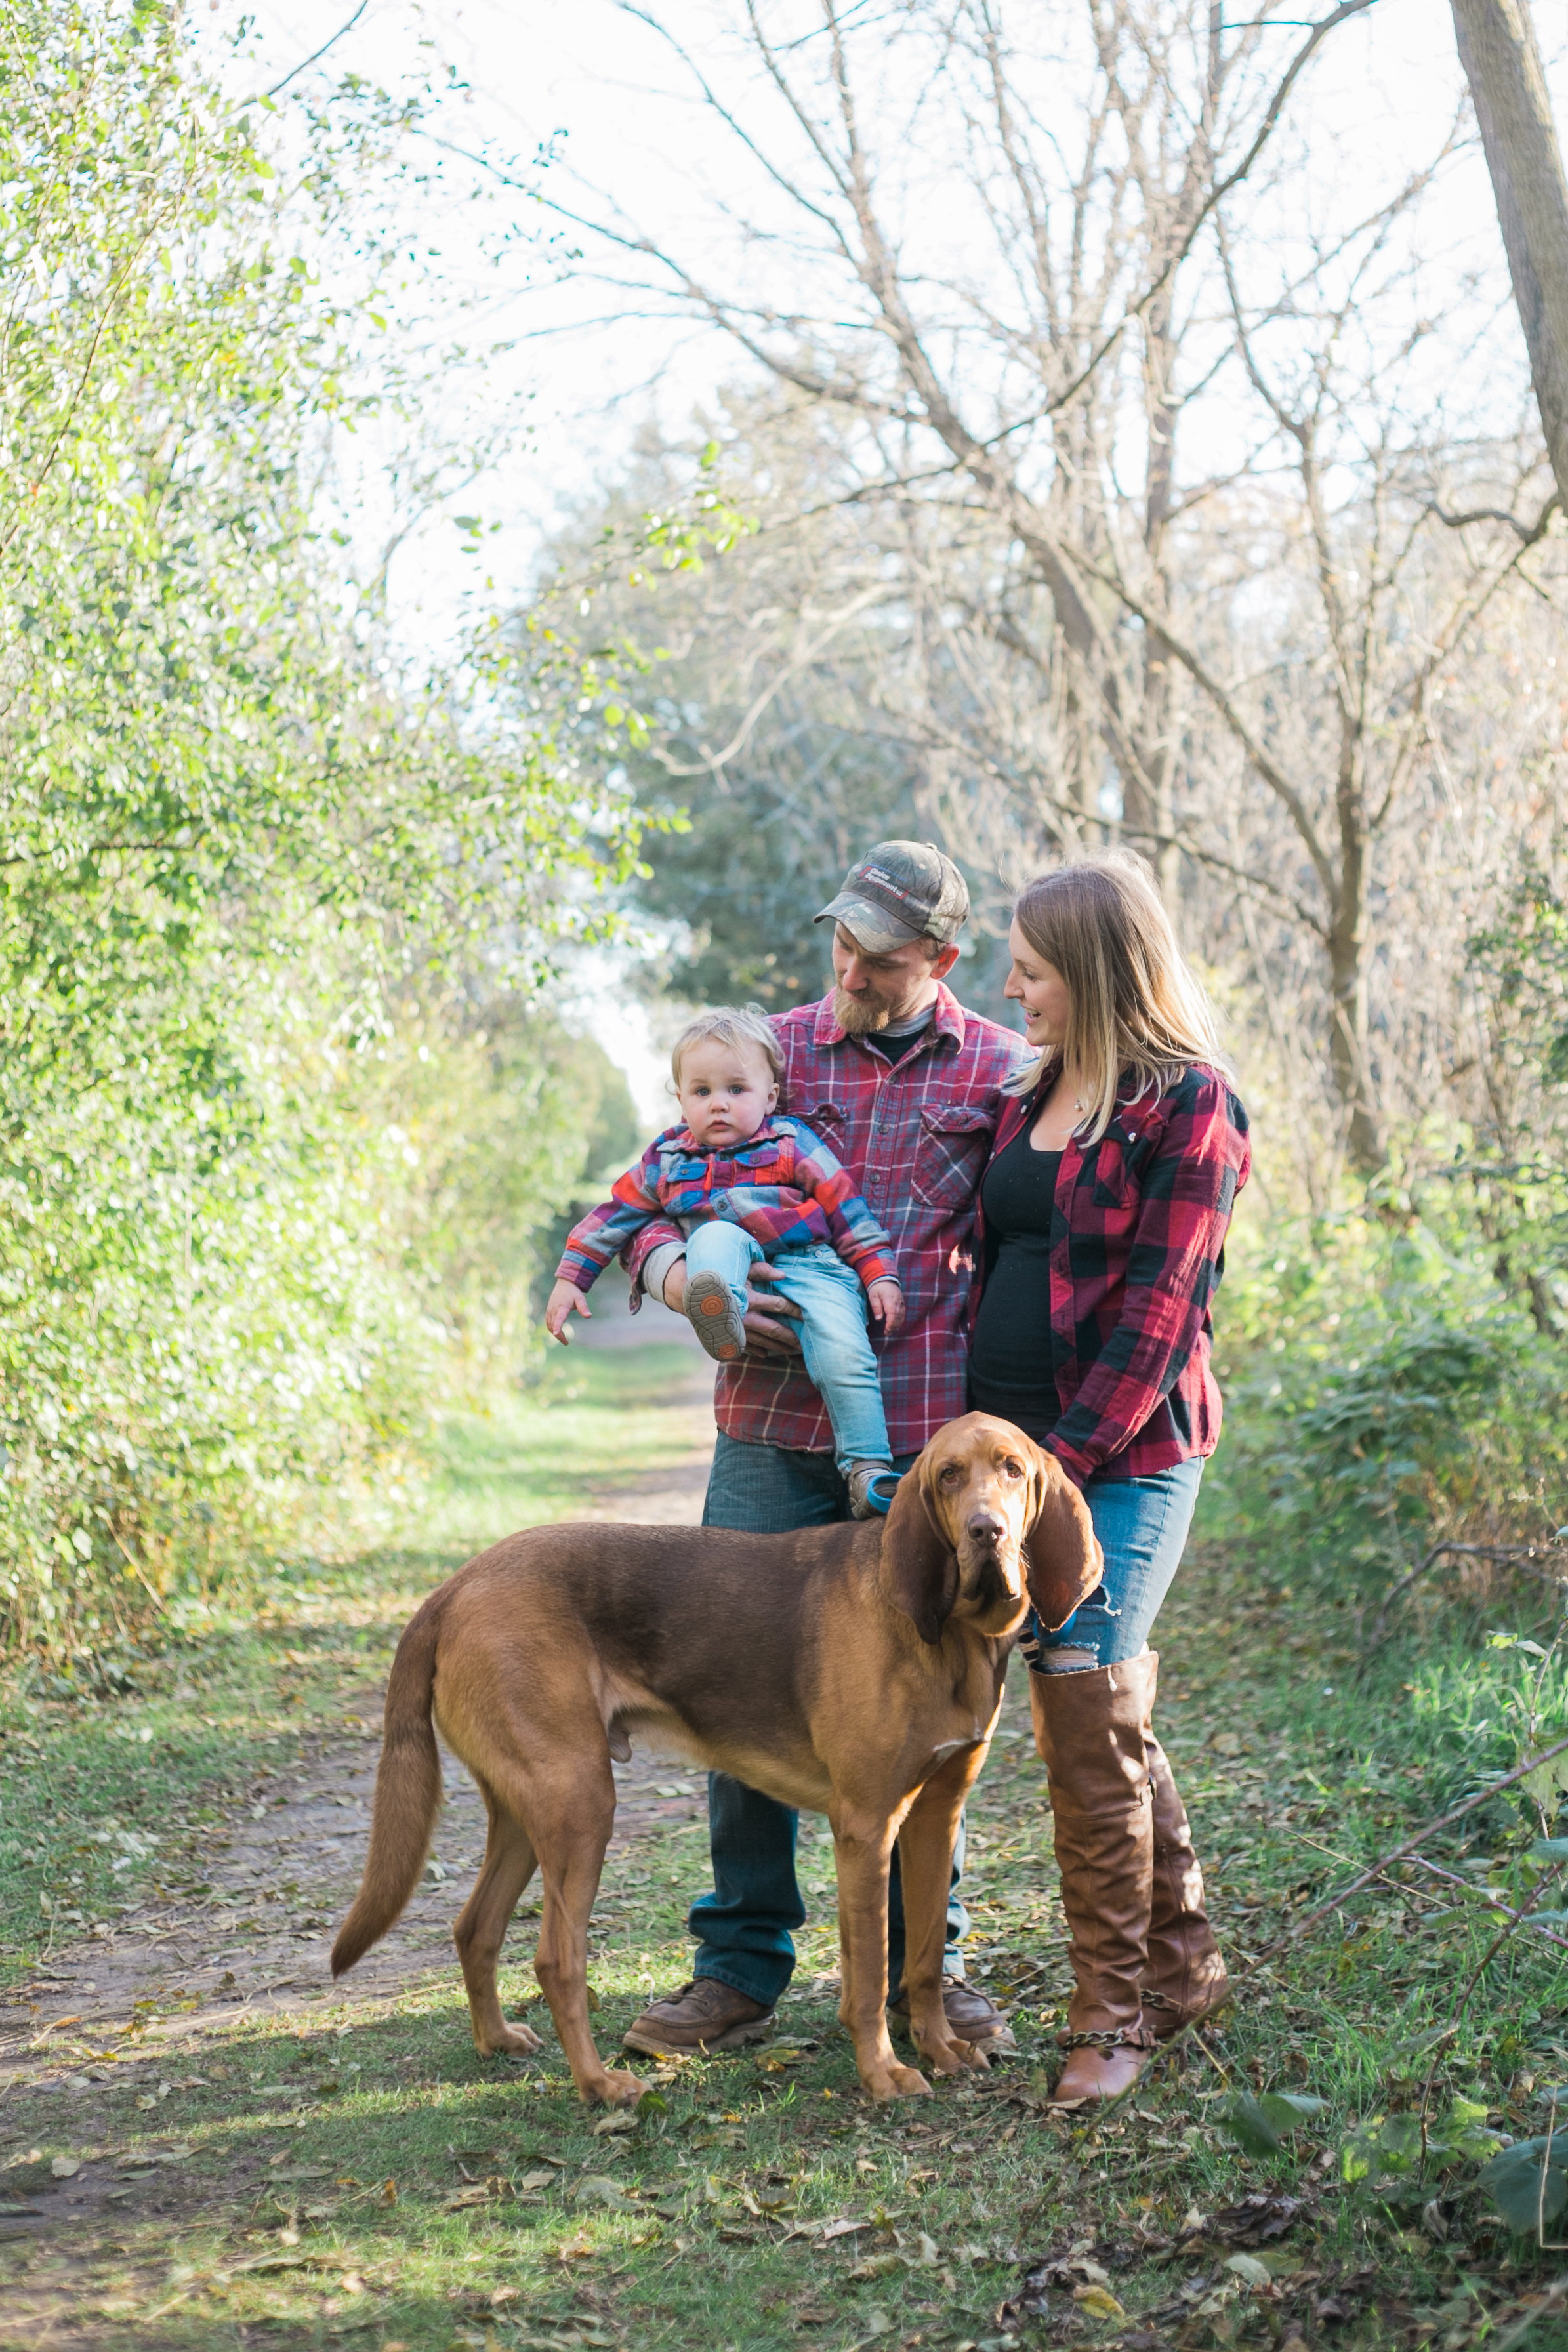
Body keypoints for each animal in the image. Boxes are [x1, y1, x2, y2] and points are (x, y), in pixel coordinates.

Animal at [331, 1411, 1100, 2116]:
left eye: (1013, 1471)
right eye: (947, 1476)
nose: (985, 1532)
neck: (953, 1635)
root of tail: (452, 1587)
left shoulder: (934, 1817)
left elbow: (923, 1961)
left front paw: (940, 2048)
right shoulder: (866, 1825)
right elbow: (871, 1975)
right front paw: (883, 2074)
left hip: (527, 1811)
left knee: (475, 1928)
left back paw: (497, 2041)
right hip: (580, 1803)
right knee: (556, 1958)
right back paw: (600, 2085)